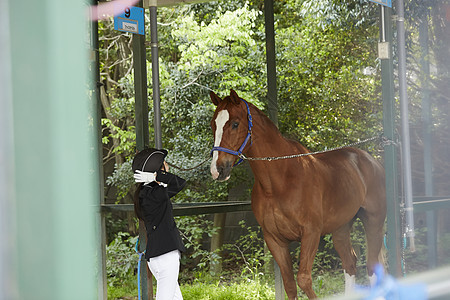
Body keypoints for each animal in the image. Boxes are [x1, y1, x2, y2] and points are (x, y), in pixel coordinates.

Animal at [209, 89, 384, 300]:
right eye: (213, 124)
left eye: (235, 123)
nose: (217, 169)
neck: (279, 182)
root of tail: (370, 160)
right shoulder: (275, 240)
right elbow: (290, 285)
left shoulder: (311, 234)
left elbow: (304, 280)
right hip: (341, 228)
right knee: (350, 263)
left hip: (373, 221)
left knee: (372, 266)